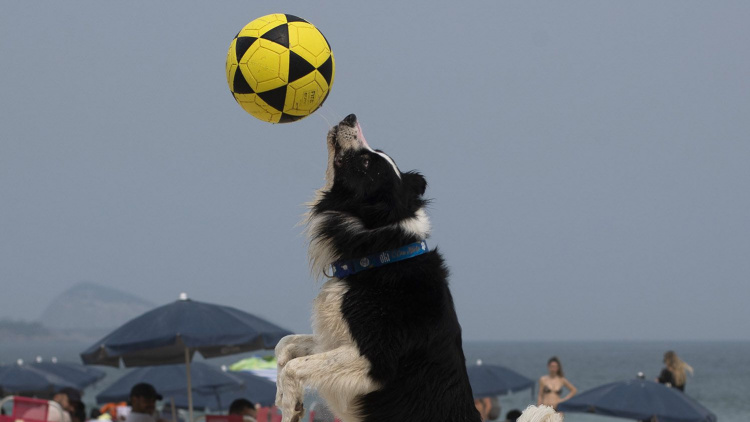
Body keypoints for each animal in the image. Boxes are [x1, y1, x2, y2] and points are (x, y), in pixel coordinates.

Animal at [276, 113, 482, 422]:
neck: (377, 253)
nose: (350, 117)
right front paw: (281, 393)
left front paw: (289, 407)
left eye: (365, 164)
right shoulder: (336, 339)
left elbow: (296, 365)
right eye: (374, 155)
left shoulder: (377, 357)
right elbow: (285, 344)